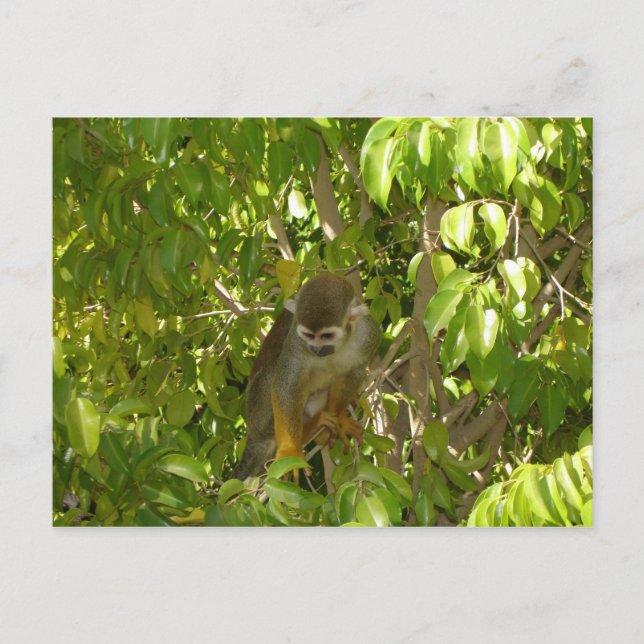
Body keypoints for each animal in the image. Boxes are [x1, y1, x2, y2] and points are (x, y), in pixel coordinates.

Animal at [231, 273, 381, 481]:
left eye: (326, 336)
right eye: (309, 335)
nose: (316, 349)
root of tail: (253, 432)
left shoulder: (368, 332)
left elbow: (353, 372)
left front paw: (339, 418)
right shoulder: (296, 337)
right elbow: (287, 382)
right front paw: (290, 452)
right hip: (258, 412)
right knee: (276, 372)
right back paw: (311, 427)